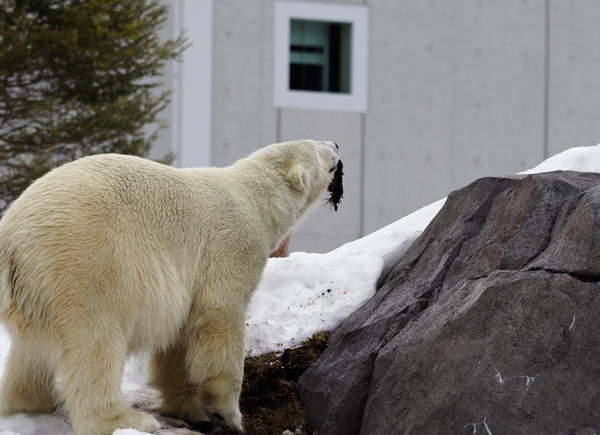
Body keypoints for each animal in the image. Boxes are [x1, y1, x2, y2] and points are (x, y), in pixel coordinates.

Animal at [0, 141, 340, 435]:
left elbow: (179, 341)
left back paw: (24, 400)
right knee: (95, 344)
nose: (336, 144)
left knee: (30, 353)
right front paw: (227, 415)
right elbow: (219, 316)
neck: (255, 199)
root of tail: (11, 238)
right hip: (83, 266)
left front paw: (190, 408)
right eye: (317, 146)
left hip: (33, 292)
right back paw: (126, 420)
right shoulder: (232, 246)